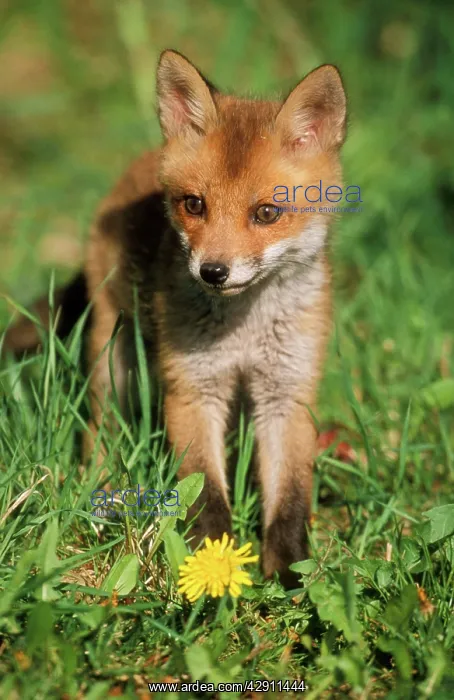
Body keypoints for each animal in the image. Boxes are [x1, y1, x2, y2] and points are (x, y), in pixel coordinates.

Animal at [2, 50, 347, 587]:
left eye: (267, 213)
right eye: (194, 204)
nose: (213, 271)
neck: (244, 331)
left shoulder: (287, 394)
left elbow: (289, 499)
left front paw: (291, 577)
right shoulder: (192, 388)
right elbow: (205, 493)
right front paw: (211, 566)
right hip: (113, 363)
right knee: (99, 433)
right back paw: (103, 498)